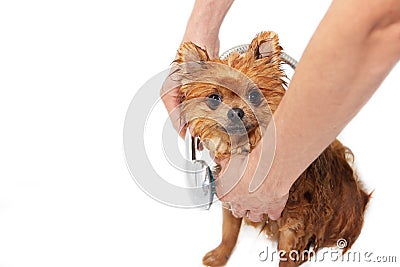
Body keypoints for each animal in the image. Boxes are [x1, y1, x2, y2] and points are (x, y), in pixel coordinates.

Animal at [172, 32, 368, 266]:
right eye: (214, 98)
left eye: (254, 96)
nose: (235, 111)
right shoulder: (232, 202)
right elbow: (228, 233)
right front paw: (220, 256)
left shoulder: (294, 224)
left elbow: (287, 256)